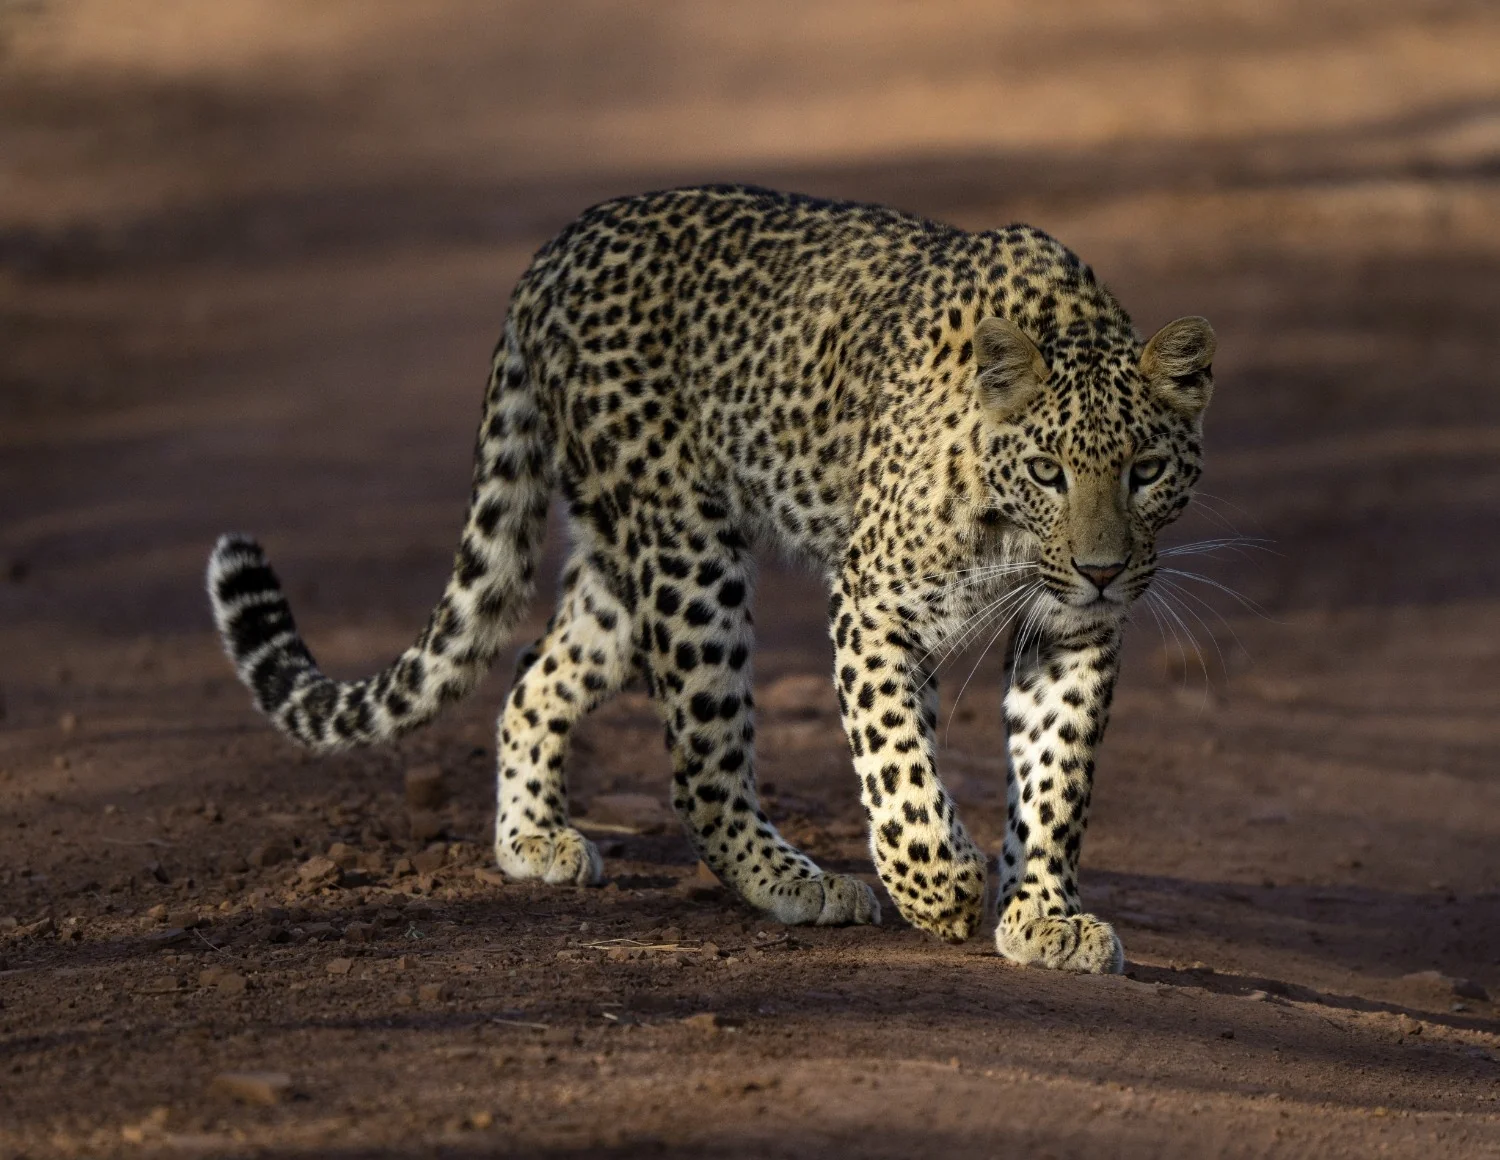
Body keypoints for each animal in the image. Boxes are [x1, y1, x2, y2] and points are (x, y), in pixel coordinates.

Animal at [207, 184, 1216, 973]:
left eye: (1145, 472)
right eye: (1048, 471)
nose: (1101, 569)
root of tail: (558, 247)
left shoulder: (1073, 632)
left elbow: (1057, 777)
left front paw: (1044, 916)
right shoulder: (873, 605)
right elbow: (897, 762)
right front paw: (940, 888)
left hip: (623, 571)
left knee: (535, 676)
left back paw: (532, 840)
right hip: (688, 554)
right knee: (700, 766)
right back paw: (798, 883)